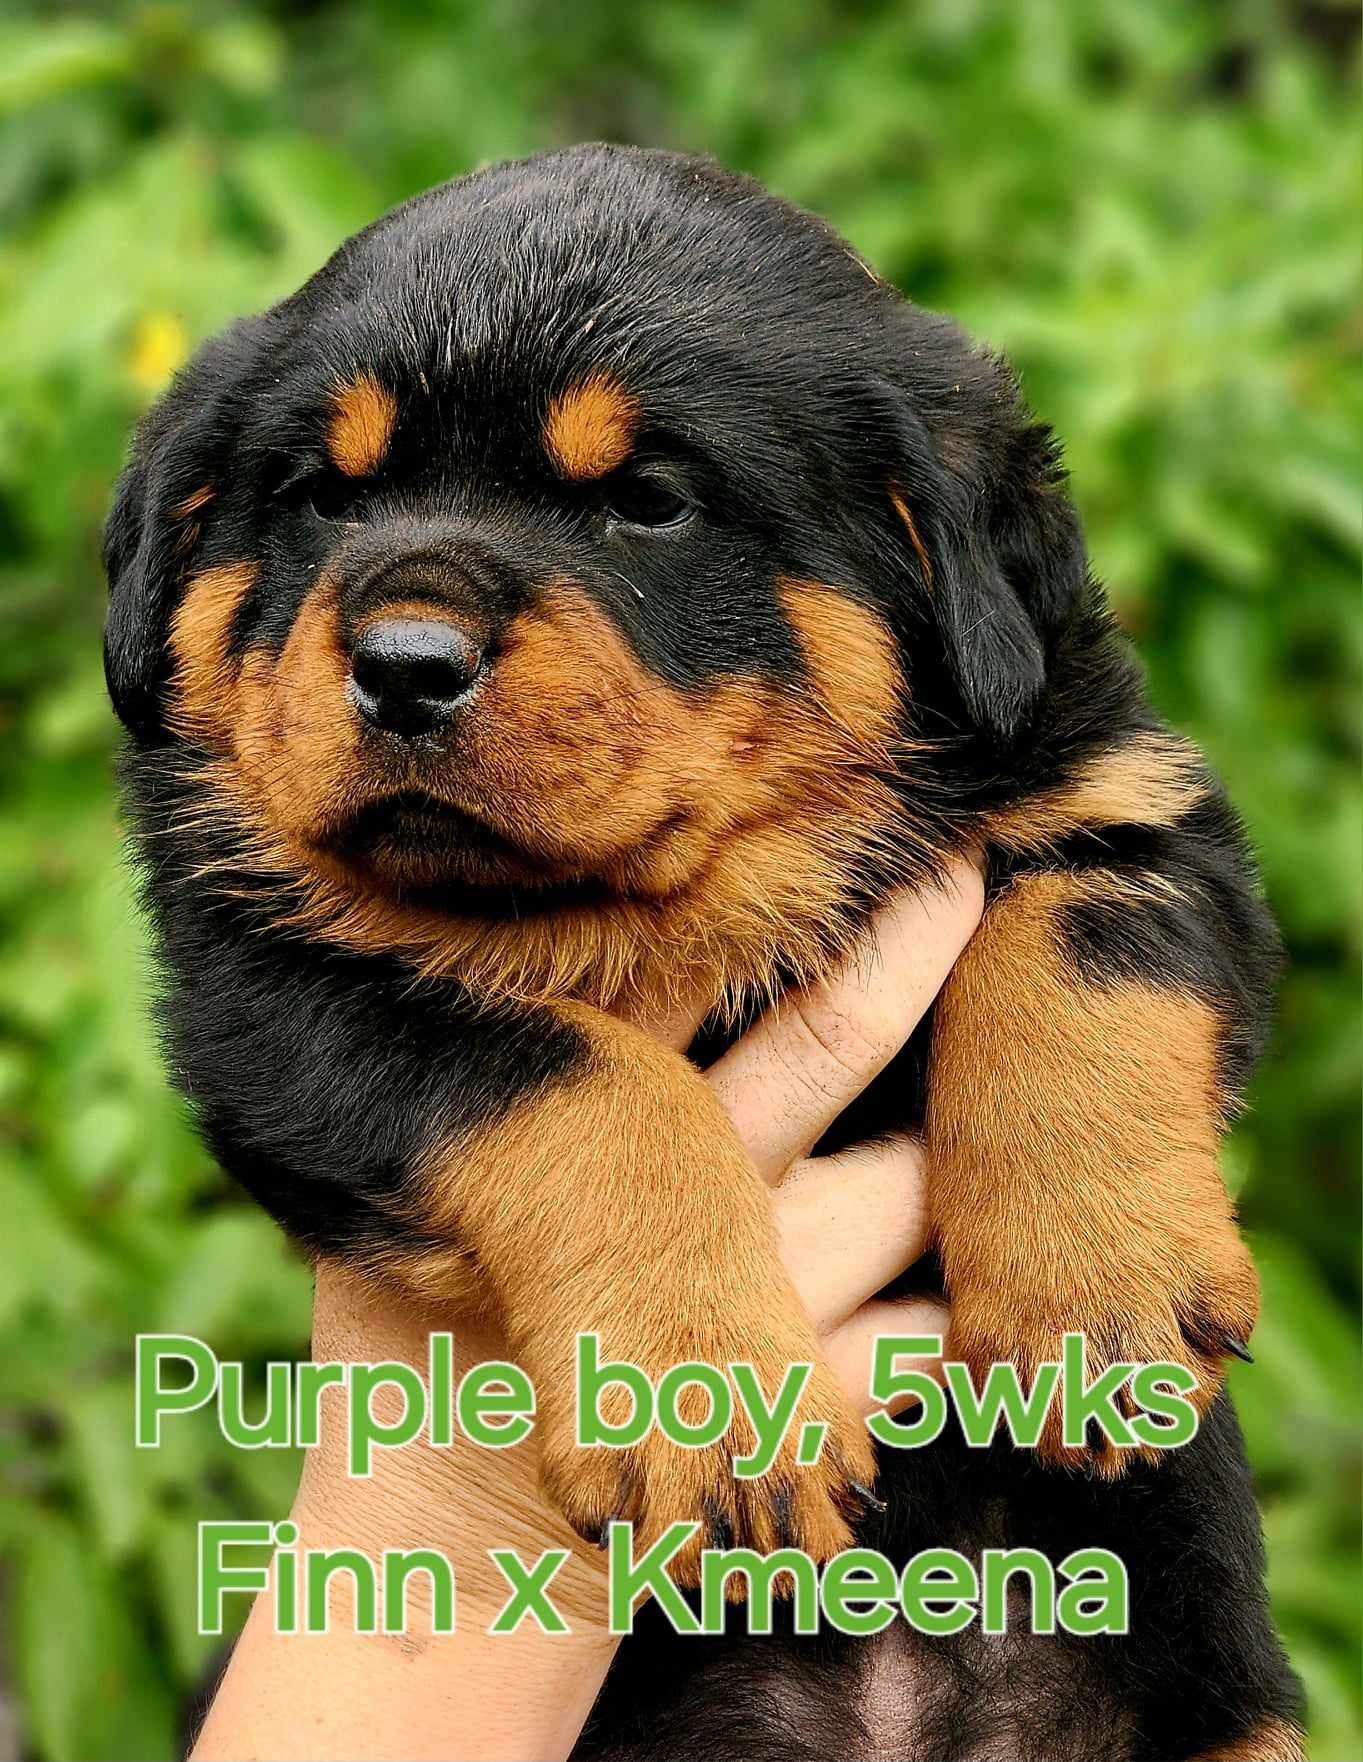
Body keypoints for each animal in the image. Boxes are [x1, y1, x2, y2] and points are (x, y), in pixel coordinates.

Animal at [104, 144, 1304, 1759]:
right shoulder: (270, 982)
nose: (403, 665)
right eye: (315, 497)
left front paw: (1090, 1294)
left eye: (648, 502)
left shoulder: (1128, 795)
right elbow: (578, 1077)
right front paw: (699, 1405)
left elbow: (1069, 956)